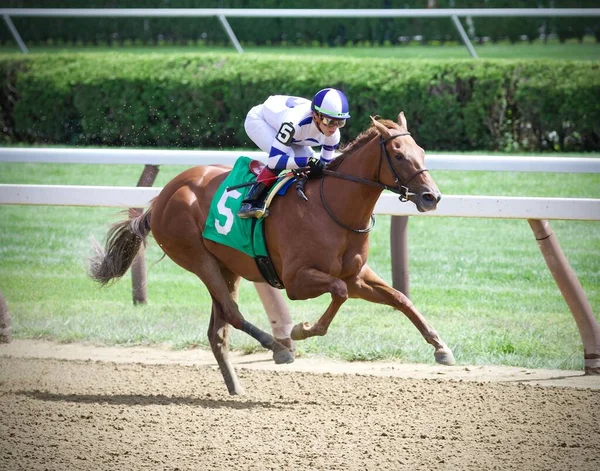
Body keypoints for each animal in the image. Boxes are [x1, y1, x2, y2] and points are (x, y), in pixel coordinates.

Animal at [89, 113, 454, 394]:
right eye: (399, 154)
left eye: (422, 151)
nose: (431, 197)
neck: (332, 208)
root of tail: (159, 198)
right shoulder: (296, 280)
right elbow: (337, 292)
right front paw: (301, 330)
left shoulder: (357, 276)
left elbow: (400, 298)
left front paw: (441, 348)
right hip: (198, 258)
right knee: (232, 314)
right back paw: (277, 345)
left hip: (227, 266)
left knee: (217, 330)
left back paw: (236, 386)